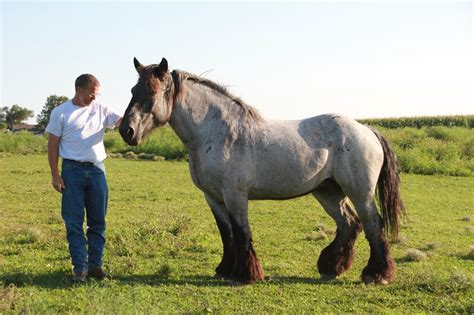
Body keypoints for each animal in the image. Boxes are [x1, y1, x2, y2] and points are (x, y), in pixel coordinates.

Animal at [118, 57, 404, 286]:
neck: (216, 133)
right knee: (350, 224)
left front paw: (246, 275)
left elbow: (241, 232)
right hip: (328, 191)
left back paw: (377, 274)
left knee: (373, 224)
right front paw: (225, 269)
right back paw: (331, 267)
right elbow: (226, 233)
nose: (126, 130)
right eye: (133, 90)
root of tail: (367, 130)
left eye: (152, 92)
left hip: (359, 192)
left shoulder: (235, 195)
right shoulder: (213, 197)